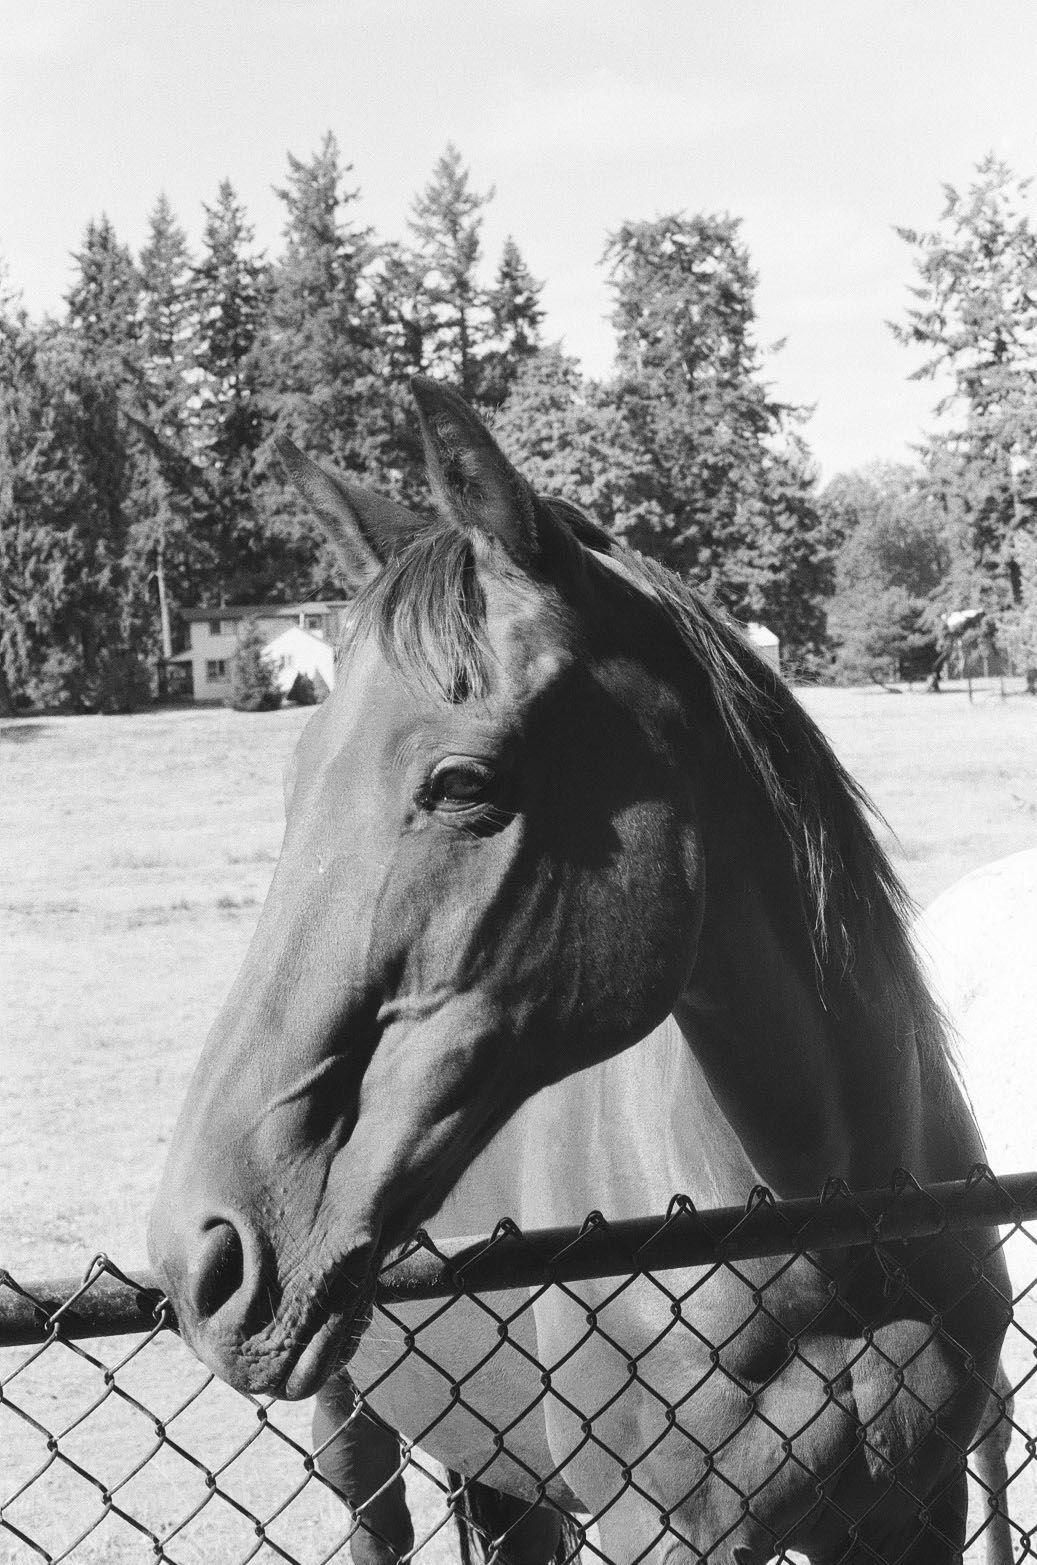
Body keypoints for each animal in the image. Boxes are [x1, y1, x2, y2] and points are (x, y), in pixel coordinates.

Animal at [150, 378, 1007, 1565]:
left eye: (463, 781)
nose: (203, 1248)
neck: (825, 1219)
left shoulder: (914, 1512)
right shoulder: (664, 1528)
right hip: (353, 1423)